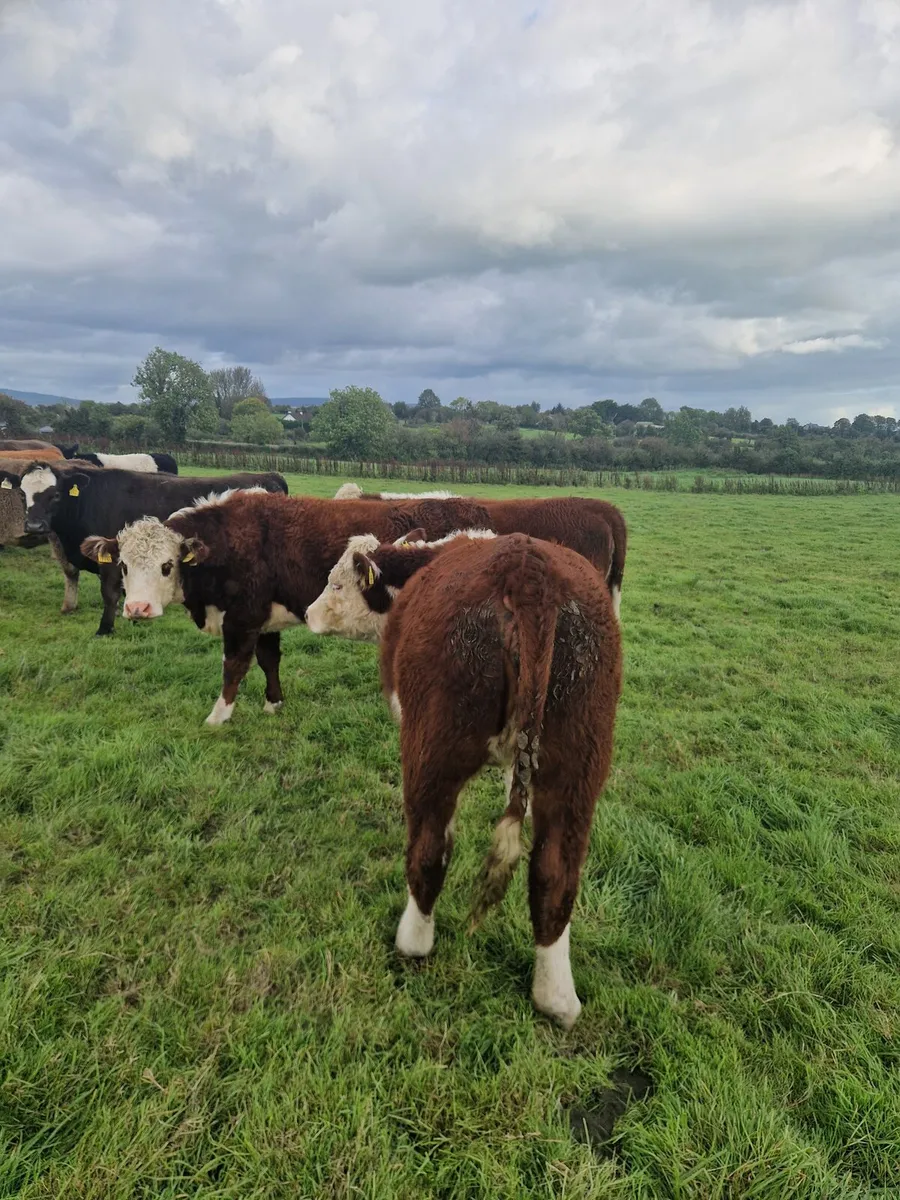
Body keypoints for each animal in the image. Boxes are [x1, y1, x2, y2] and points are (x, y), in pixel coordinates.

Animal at [0, 463, 288, 634]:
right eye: (23, 494)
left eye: (56, 494)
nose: (34, 525)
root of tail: (270, 476)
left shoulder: (110, 560)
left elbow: (109, 594)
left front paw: (105, 629)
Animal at [79, 490, 494, 724]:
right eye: (123, 565)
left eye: (167, 566)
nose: (138, 608)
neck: (227, 541)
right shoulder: (263, 620)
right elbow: (268, 661)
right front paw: (273, 705)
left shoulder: (242, 619)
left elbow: (233, 668)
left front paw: (218, 717)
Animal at [306, 529, 622, 1029]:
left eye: (337, 585)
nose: (307, 613)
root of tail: (529, 572)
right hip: (578, 760)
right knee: (555, 870)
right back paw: (556, 997)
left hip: (431, 751)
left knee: (428, 849)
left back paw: (413, 942)